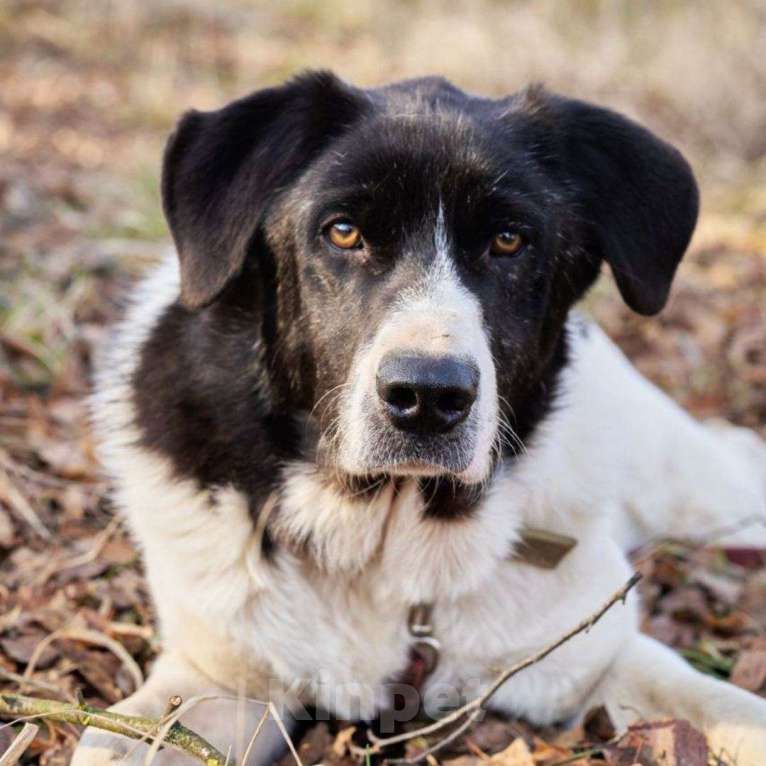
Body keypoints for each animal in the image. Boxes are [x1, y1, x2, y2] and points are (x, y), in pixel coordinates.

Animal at [75, 73, 766, 766]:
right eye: (343, 231)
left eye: (509, 240)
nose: (428, 396)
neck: (389, 542)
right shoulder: (213, 680)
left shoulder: (598, 654)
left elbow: (719, 704)